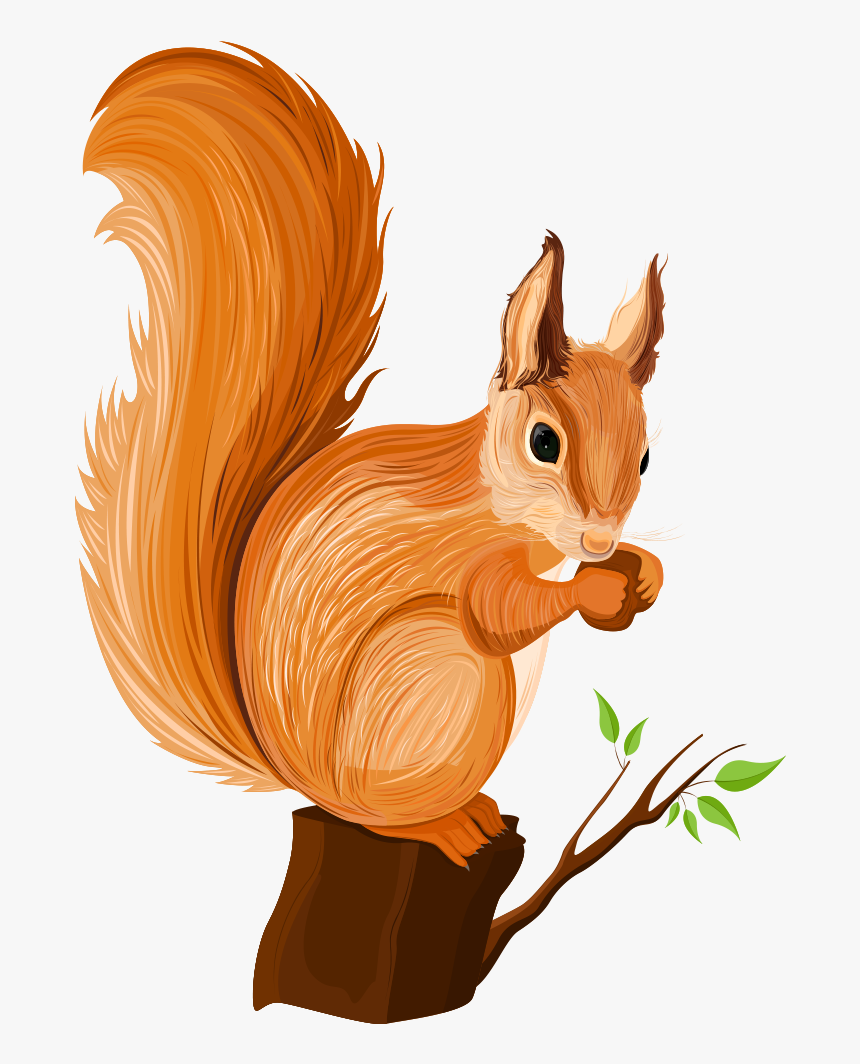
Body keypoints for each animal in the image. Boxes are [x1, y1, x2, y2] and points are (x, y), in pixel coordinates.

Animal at [79, 45, 665, 868]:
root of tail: (297, 777)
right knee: (378, 812)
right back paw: (440, 825)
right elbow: (497, 614)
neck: (505, 508)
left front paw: (643, 572)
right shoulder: (470, 565)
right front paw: (597, 589)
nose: (601, 542)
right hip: (434, 681)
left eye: (646, 459)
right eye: (544, 442)